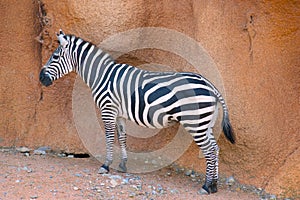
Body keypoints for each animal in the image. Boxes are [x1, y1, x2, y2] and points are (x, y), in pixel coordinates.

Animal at [39, 29, 234, 194]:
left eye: (55, 56)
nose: (41, 78)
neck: (102, 76)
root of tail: (210, 85)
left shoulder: (108, 109)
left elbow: (109, 137)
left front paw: (106, 165)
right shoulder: (119, 114)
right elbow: (122, 137)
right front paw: (123, 165)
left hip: (195, 122)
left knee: (209, 150)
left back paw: (206, 186)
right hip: (205, 123)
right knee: (215, 148)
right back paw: (214, 185)